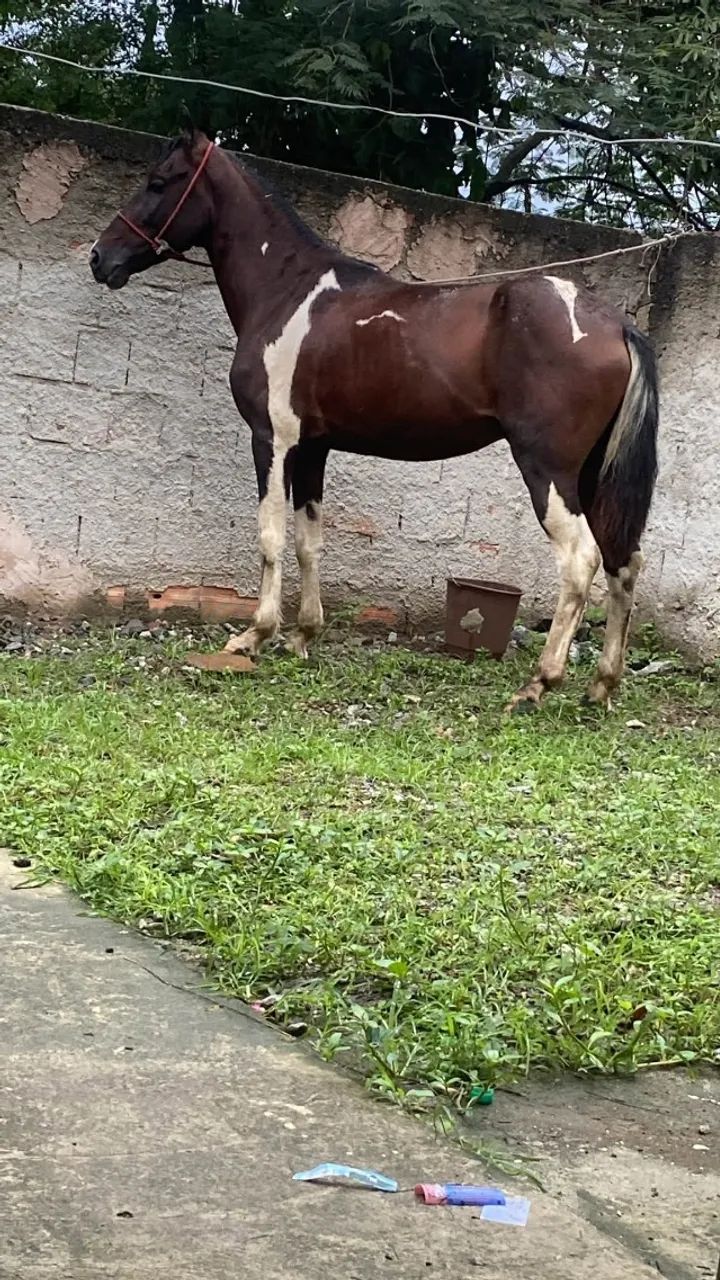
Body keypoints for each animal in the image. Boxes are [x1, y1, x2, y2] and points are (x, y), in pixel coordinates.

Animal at [90, 115, 658, 711]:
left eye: (159, 181)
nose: (99, 258)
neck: (288, 291)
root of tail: (614, 325)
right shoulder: (313, 448)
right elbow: (308, 541)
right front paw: (303, 636)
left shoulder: (273, 439)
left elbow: (270, 536)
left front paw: (255, 635)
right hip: (591, 477)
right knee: (624, 562)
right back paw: (601, 684)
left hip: (548, 471)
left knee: (581, 560)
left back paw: (539, 683)